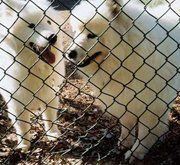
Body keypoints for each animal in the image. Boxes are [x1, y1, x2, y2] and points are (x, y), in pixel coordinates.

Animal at [0, 0, 64, 152]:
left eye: (48, 21)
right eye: (31, 26)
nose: (53, 37)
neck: (34, 68)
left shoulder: (50, 94)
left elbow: (50, 118)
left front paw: (53, 135)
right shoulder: (17, 104)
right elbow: (23, 127)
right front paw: (24, 145)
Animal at [67, 0, 180, 162]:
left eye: (91, 35)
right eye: (76, 33)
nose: (69, 53)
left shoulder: (152, 106)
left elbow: (145, 134)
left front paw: (136, 153)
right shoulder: (124, 98)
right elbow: (126, 123)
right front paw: (125, 142)